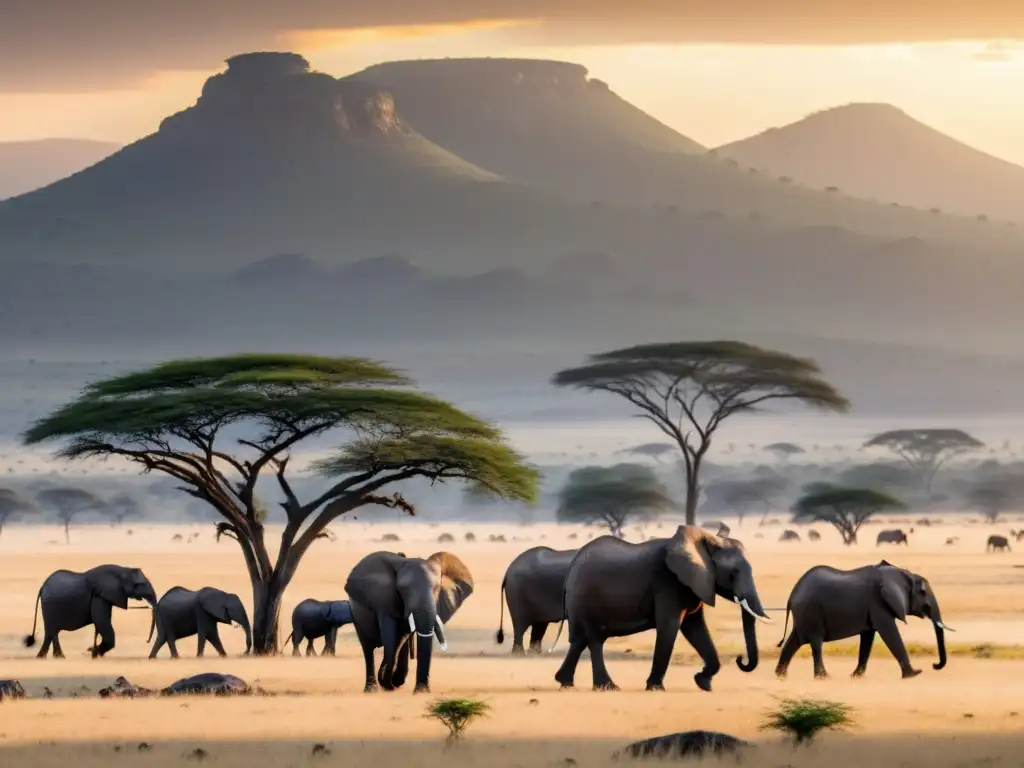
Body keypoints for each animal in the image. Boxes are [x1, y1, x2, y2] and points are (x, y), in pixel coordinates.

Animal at [24, 561, 157, 659]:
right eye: (139, 584)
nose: (146, 641)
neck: (123, 570)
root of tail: (42, 587)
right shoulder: (99, 596)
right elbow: (102, 622)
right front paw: (93, 652)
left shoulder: (105, 596)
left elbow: (101, 623)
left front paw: (94, 652)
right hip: (49, 606)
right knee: (50, 632)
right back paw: (42, 658)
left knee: (54, 632)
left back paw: (59, 657)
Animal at [344, 548, 471, 696]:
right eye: (404, 589)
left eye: (437, 589)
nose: (421, 690)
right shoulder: (384, 600)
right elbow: (391, 637)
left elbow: (401, 637)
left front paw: (419, 691)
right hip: (356, 614)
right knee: (368, 648)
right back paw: (372, 689)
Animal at [552, 528, 770, 696]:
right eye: (733, 573)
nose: (740, 659)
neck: (706, 539)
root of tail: (572, 566)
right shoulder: (668, 583)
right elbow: (670, 627)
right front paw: (655, 688)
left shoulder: (692, 585)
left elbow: (695, 628)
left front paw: (703, 683)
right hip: (585, 598)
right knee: (594, 639)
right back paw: (608, 687)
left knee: (580, 640)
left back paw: (565, 683)